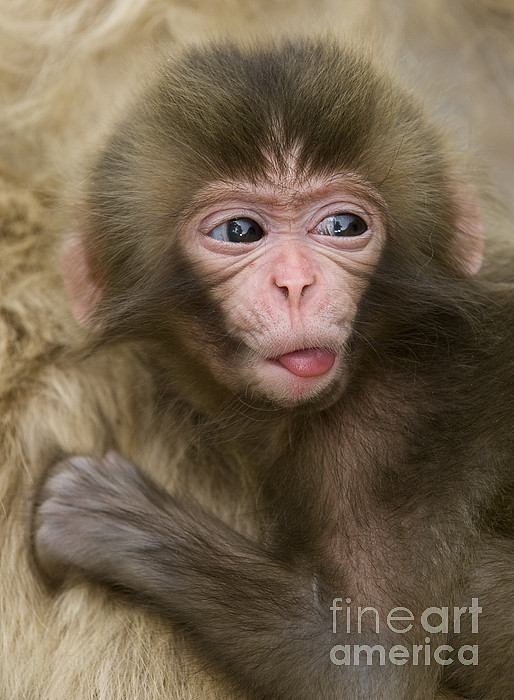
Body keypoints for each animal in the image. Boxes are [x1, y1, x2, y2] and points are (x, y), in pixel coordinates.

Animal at [0, 2, 513, 700]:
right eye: (239, 231)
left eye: (343, 226)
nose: (296, 282)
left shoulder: (390, 423)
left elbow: (364, 662)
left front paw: (106, 516)